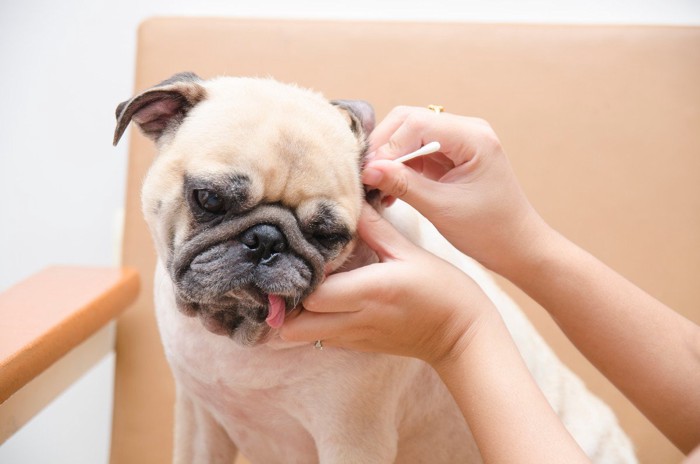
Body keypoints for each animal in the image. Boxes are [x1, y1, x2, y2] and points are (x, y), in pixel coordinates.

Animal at [112, 73, 636, 464]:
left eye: (327, 234)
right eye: (209, 199)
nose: (266, 241)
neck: (240, 339)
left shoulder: (351, 439)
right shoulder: (199, 420)